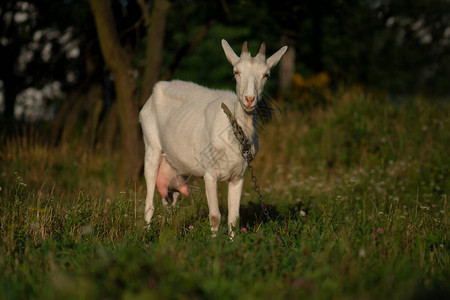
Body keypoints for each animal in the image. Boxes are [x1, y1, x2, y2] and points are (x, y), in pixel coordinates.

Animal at [141, 38, 286, 236]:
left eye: (266, 74)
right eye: (236, 71)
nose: (249, 99)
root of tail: (156, 89)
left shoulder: (239, 176)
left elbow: (234, 218)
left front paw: (232, 241)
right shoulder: (209, 173)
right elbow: (215, 216)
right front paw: (214, 242)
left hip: (177, 164)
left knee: (170, 201)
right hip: (151, 143)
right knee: (149, 199)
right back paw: (147, 234)